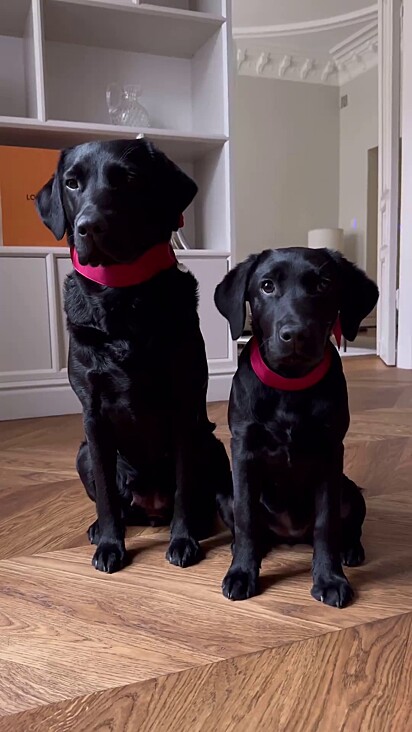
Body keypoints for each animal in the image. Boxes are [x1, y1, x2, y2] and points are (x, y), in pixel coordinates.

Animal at [35, 137, 232, 572]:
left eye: (128, 179)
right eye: (72, 183)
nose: (89, 225)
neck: (121, 296)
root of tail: (152, 507)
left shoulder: (182, 409)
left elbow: (183, 487)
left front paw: (183, 540)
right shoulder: (93, 416)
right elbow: (108, 496)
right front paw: (111, 544)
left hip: (209, 443)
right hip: (82, 453)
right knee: (118, 501)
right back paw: (101, 528)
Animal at [216, 247, 380, 608]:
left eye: (322, 284)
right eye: (266, 286)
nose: (295, 335)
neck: (290, 386)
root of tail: (290, 535)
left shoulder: (331, 454)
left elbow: (326, 523)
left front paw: (330, 579)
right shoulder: (243, 451)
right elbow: (246, 518)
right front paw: (242, 573)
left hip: (350, 490)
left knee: (347, 526)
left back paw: (350, 550)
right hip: (225, 493)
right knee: (251, 526)